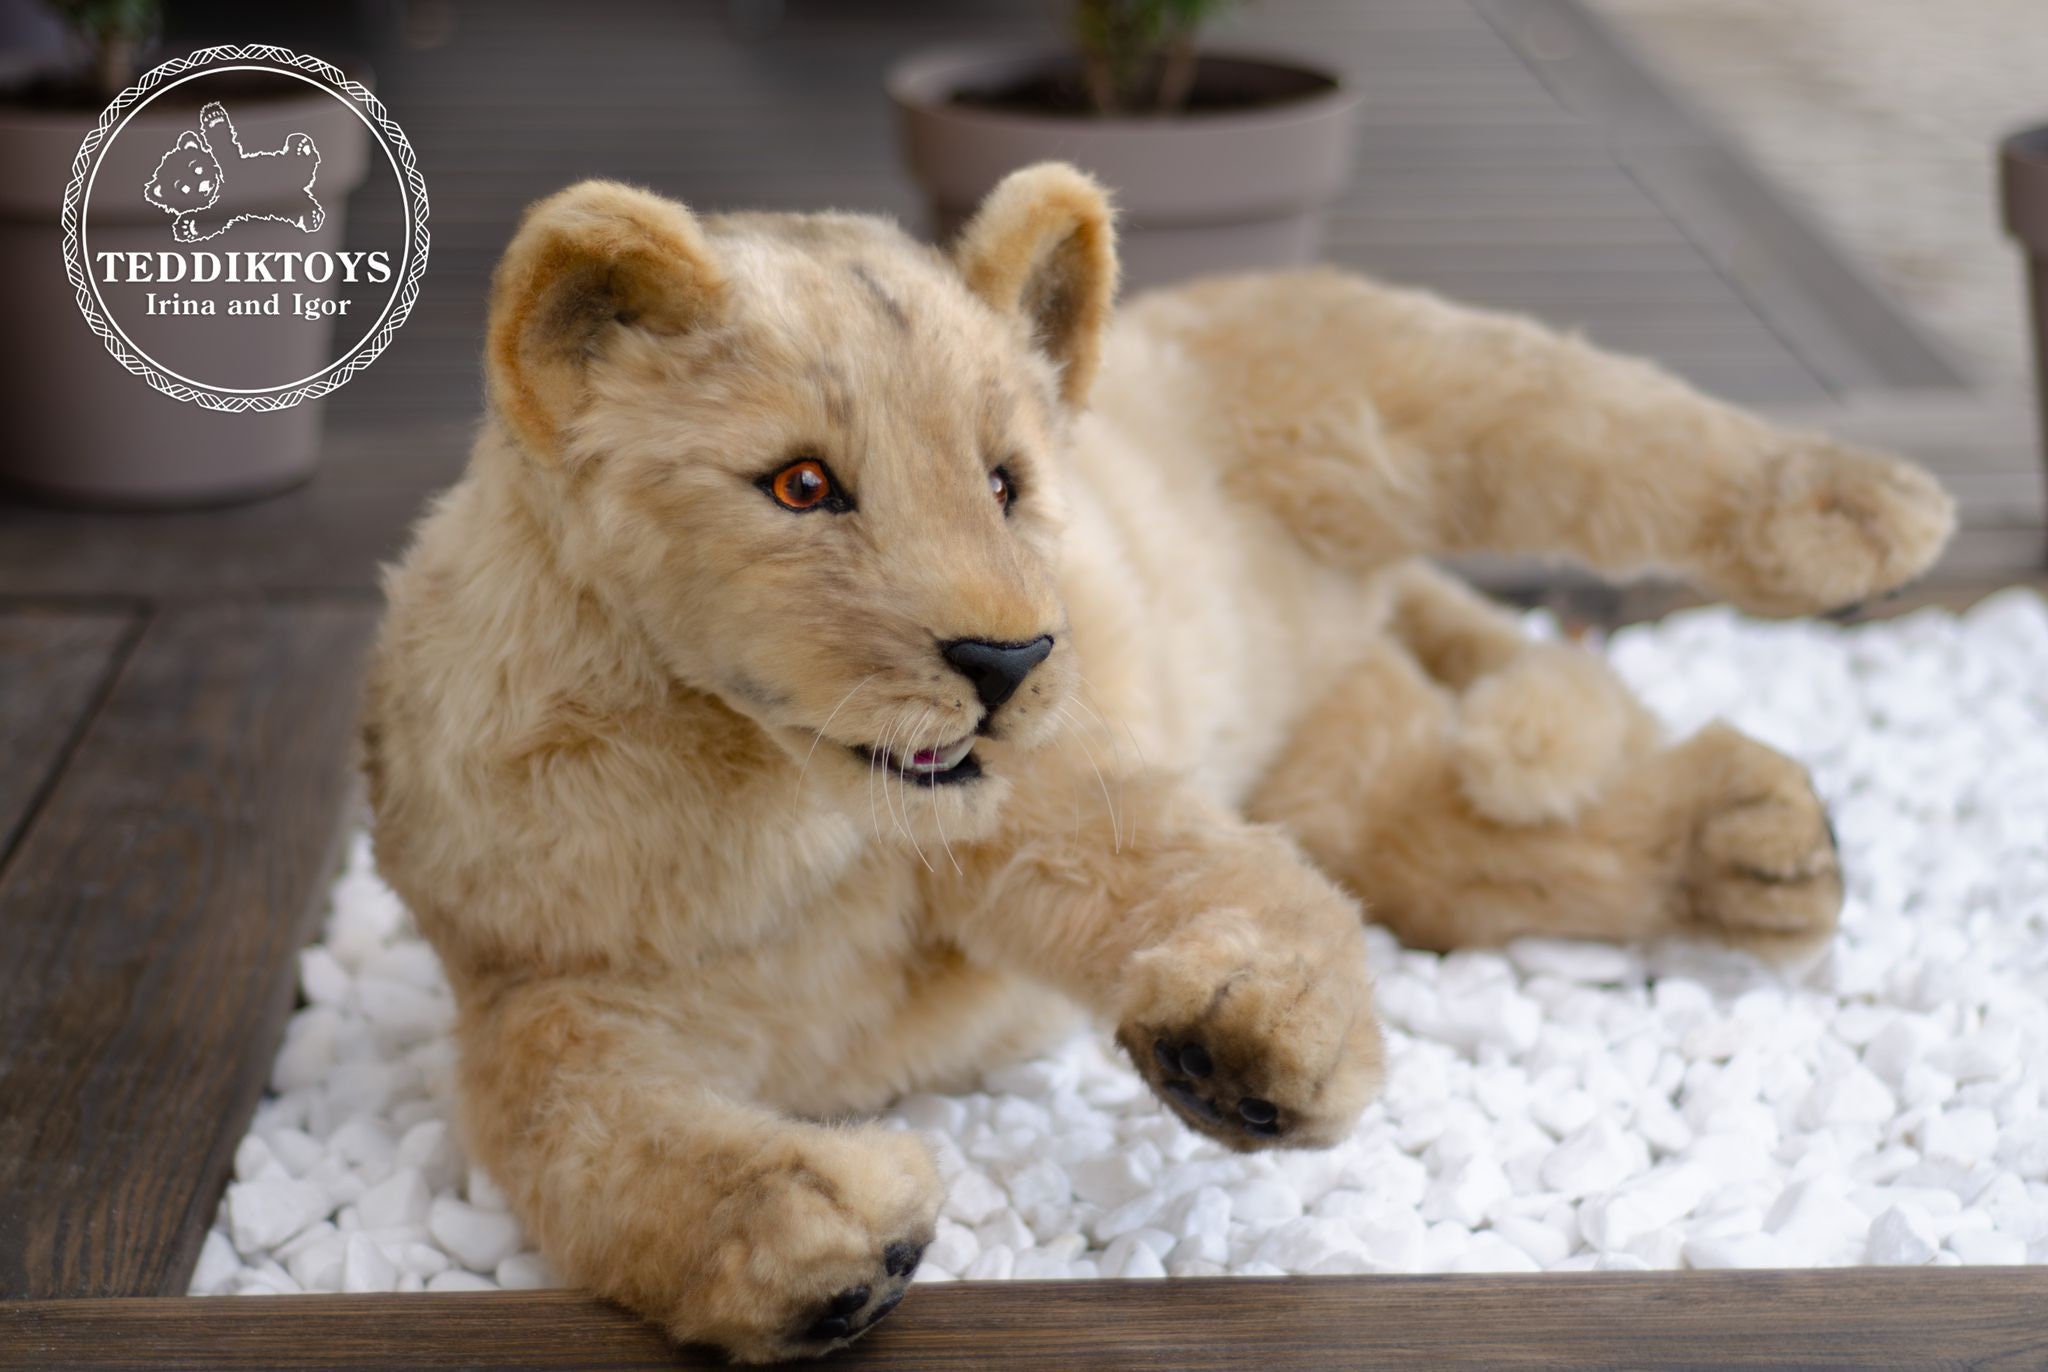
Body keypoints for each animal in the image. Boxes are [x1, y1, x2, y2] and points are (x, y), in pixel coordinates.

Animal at [363, 165, 1953, 1361]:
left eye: (1006, 483)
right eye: (802, 485)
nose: (1009, 659)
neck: (758, 784)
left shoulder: (1047, 789)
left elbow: (1182, 859)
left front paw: (1249, 1045)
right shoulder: (539, 988)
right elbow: (578, 1130)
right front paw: (812, 1238)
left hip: (1415, 392)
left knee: (1603, 419)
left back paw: (1865, 512)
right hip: (1347, 762)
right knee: (1460, 837)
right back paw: (1760, 843)